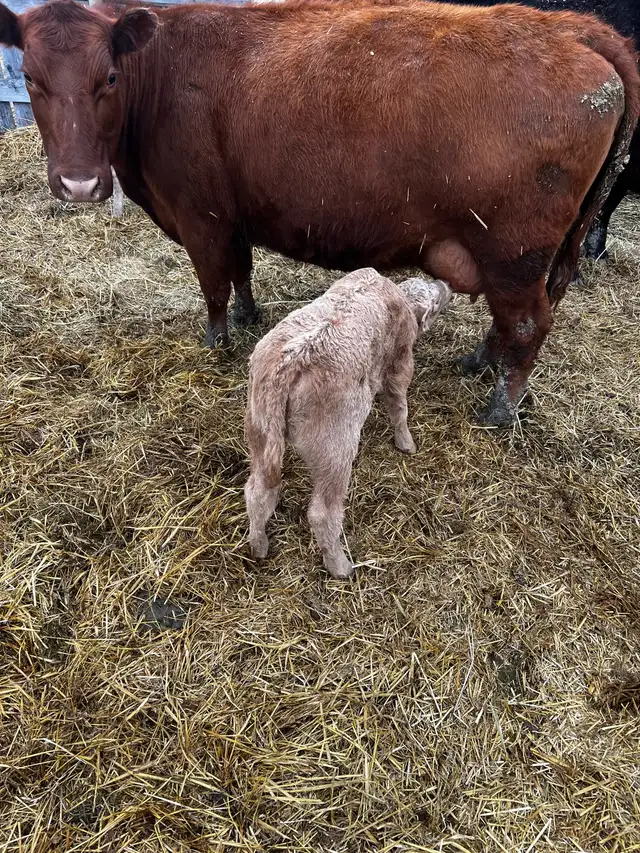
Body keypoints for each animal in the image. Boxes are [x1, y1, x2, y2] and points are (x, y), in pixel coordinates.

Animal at [0, 0, 637, 425]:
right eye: (29, 77)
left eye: (108, 77)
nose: (79, 184)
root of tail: (573, 27)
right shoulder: (233, 215)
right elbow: (241, 272)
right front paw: (250, 317)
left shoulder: (200, 216)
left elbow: (214, 285)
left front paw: (215, 343)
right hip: (528, 253)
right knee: (515, 320)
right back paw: (481, 362)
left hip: (515, 249)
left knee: (527, 324)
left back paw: (500, 408)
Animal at [244, 268, 452, 579]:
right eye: (436, 303)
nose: (446, 284)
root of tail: (292, 361)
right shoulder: (401, 362)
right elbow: (399, 406)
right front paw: (406, 443)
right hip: (334, 448)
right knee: (323, 513)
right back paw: (340, 566)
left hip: (259, 428)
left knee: (257, 493)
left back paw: (259, 546)